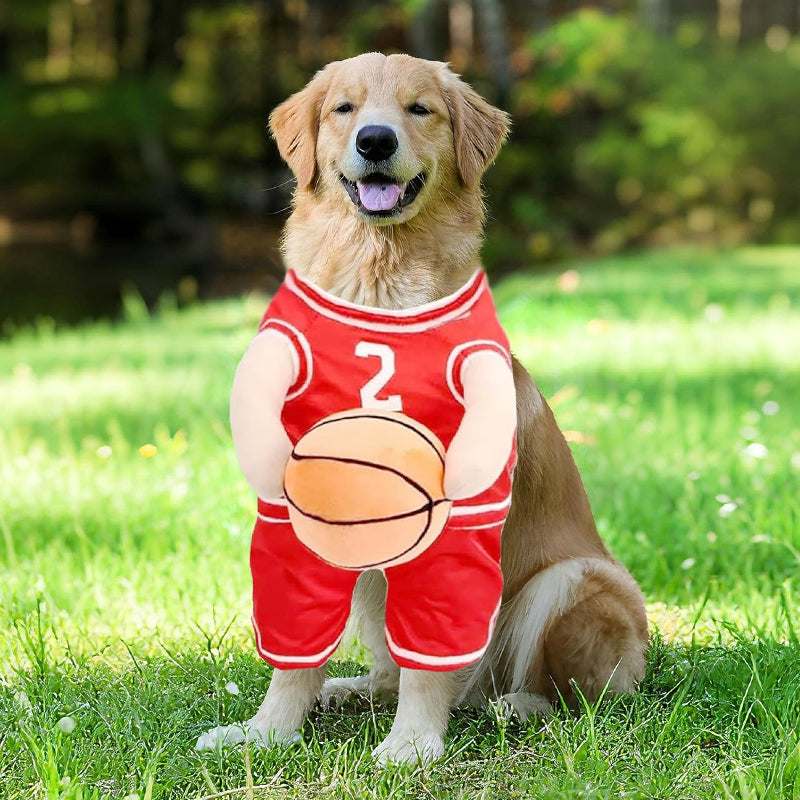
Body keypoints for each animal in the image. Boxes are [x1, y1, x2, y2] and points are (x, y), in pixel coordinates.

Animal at [195, 53, 648, 764]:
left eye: (419, 109)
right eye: (345, 108)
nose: (376, 141)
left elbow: (428, 661)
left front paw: (410, 745)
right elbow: (296, 654)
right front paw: (266, 732)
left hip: (574, 579)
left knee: (573, 696)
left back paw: (516, 707)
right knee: (392, 666)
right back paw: (352, 689)